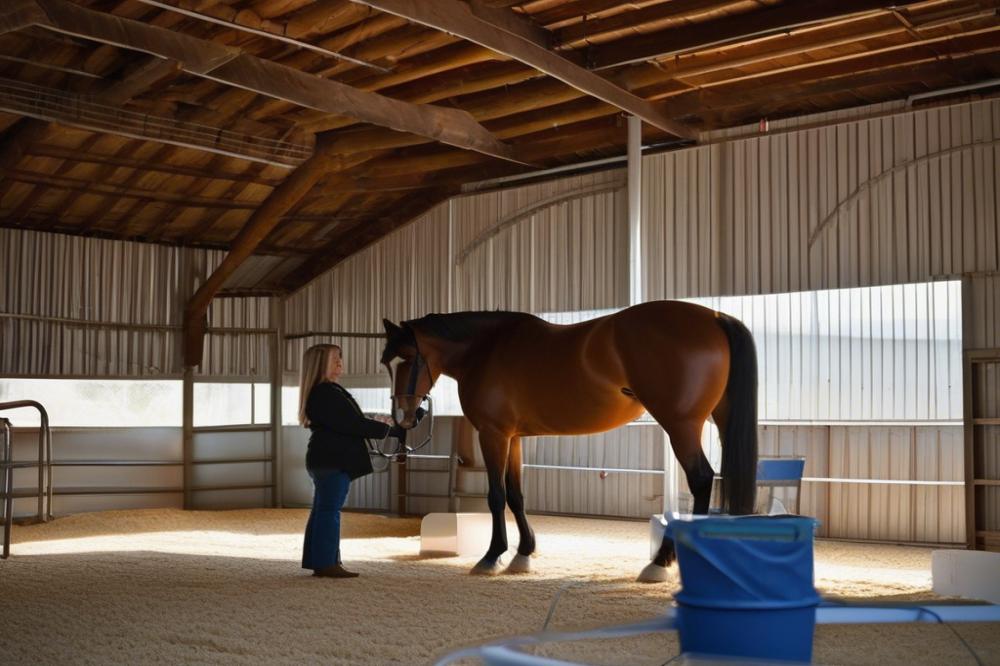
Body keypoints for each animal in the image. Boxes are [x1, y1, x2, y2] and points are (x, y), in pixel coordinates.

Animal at [380, 300, 758, 582]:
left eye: (409, 359)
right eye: (387, 363)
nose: (403, 417)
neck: (486, 349)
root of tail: (714, 317)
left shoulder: (492, 434)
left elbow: (496, 496)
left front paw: (492, 556)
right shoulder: (513, 437)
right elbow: (516, 495)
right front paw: (524, 553)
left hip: (681, 426)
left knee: (702, 479)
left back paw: (661, 562)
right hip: (716, 420)